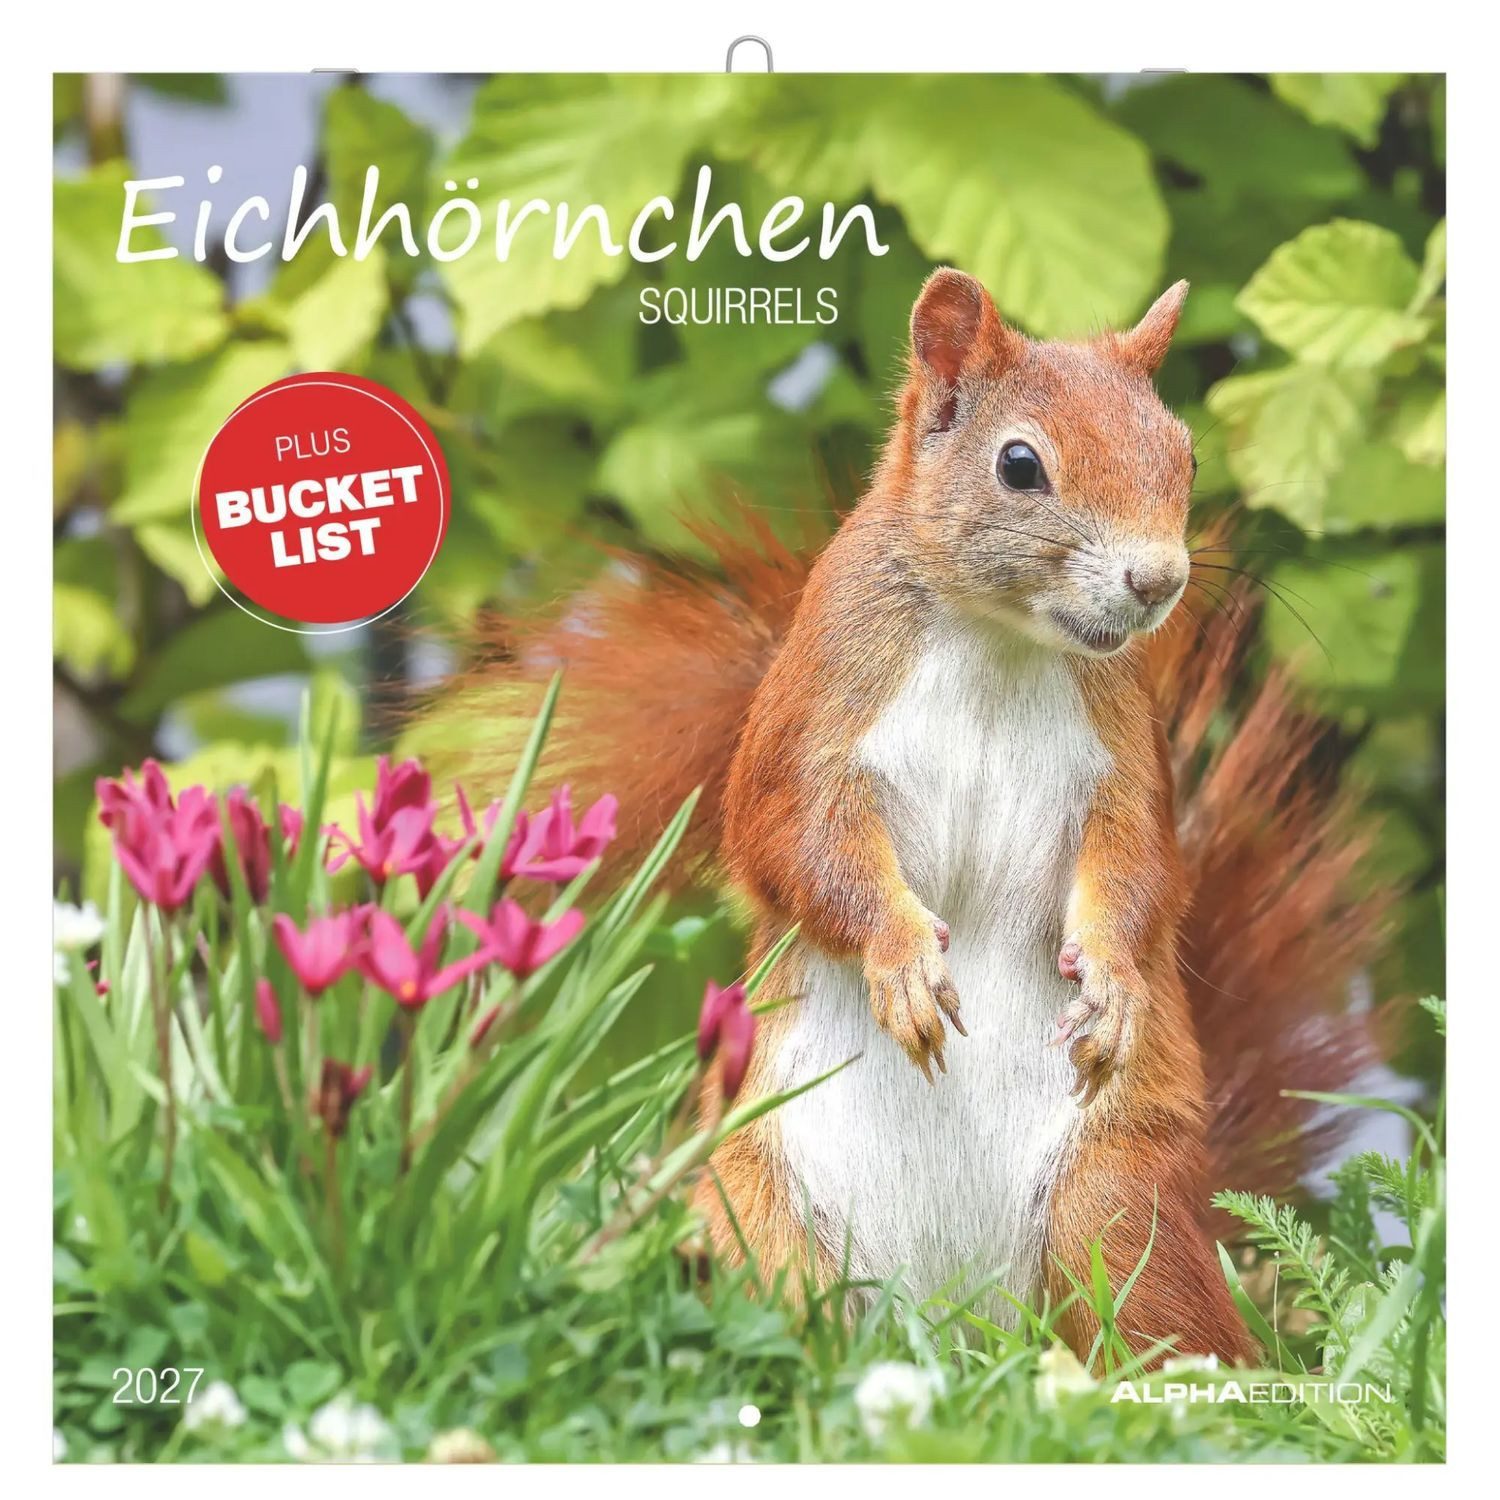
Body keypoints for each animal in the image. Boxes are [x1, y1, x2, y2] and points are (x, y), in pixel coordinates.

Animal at [454, 268, 1383, 1366]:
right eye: (1020, 465)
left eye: (1186, 452)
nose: (1157, 580)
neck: (1000, 641)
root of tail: (951, 1327)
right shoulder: (816, 720)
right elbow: (797, 845)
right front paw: (900, 961)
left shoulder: (1122, 759)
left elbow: (1142, 872)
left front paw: (1114, 981)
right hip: (757, 1217)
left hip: (1113, 1208)